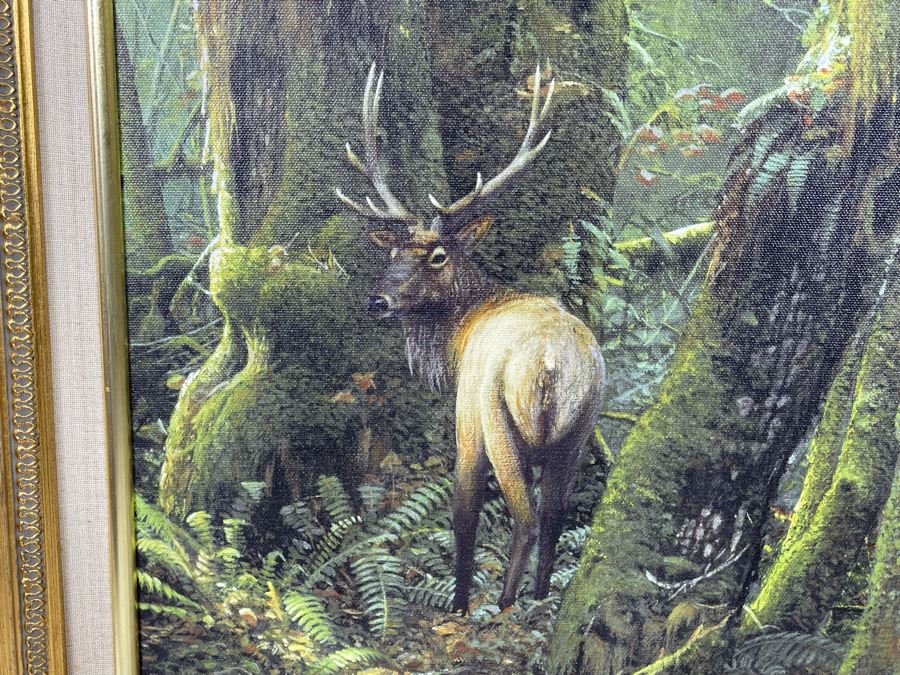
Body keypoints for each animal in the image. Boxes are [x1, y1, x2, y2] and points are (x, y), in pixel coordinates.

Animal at [336, 62, 605, 613]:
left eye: (438, 255)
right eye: (391, 253)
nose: (377, 301)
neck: (457, 340)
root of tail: (554, 366)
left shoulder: (466, 417)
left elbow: (463, 512)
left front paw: (457, 603)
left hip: (498, 417)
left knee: (524, 518)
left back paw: (498, 605)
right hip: (582, 426)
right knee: (553, 519)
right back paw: (538, 597)